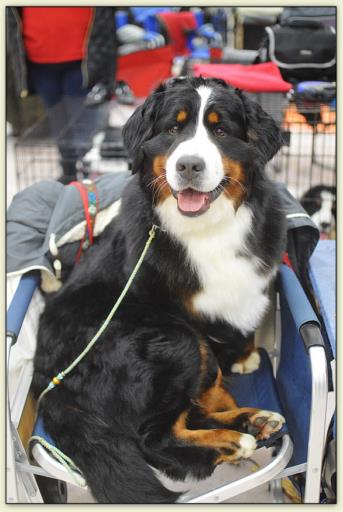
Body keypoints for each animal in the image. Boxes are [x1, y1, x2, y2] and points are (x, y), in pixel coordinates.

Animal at [33, 77, 288, 504]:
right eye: (172, 129)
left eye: (220, 131)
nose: (189, 165)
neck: (210, 228)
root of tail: (49, 380)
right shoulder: (185, 317)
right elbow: (212, 376)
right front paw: (234, 382)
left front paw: (246, 355)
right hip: (169, 339)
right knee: (155, 437)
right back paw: (234, 438)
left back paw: (254, 419)